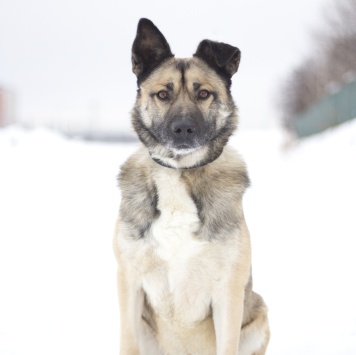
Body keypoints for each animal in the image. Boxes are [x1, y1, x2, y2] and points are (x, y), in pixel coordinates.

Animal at [114, 18, 270, 354]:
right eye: (162, 94)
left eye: (204, 94)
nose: (183, 129)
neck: (179, 172)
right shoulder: (130, 282)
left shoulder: (228, 292)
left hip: (260, 315)